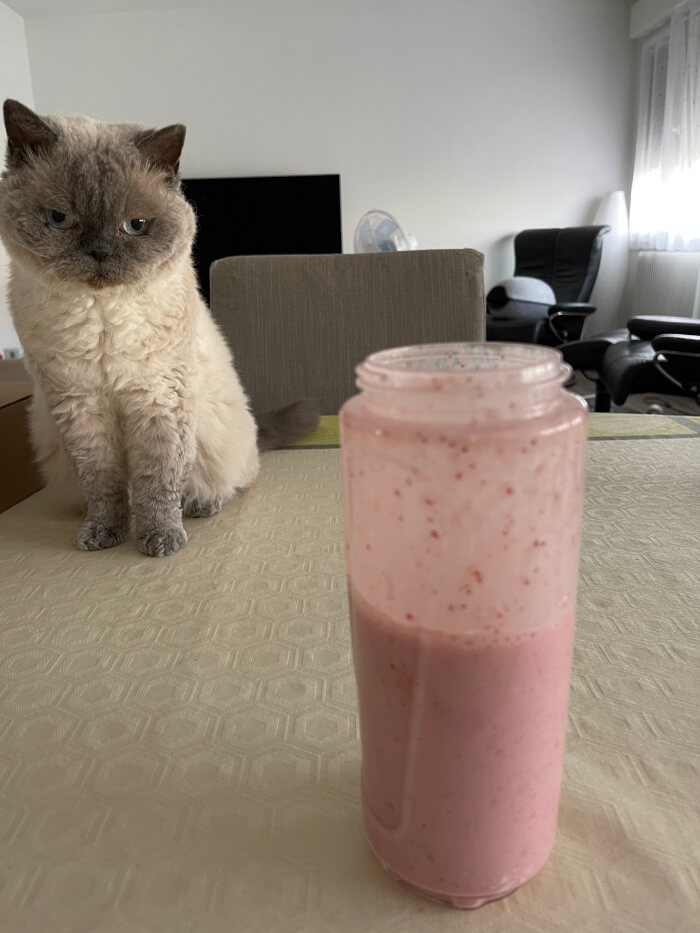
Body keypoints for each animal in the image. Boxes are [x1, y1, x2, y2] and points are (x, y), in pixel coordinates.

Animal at [0, 99, 318, 557]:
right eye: (60, 219)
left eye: (136, 226)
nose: (99, 253)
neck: (101, 317)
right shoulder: (80, 406)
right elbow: (104, 485)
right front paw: (103, 534)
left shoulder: (158, 399)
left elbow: (157, 482)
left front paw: (161, 540)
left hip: (215, 432)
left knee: (233, 480)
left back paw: (202, 506)